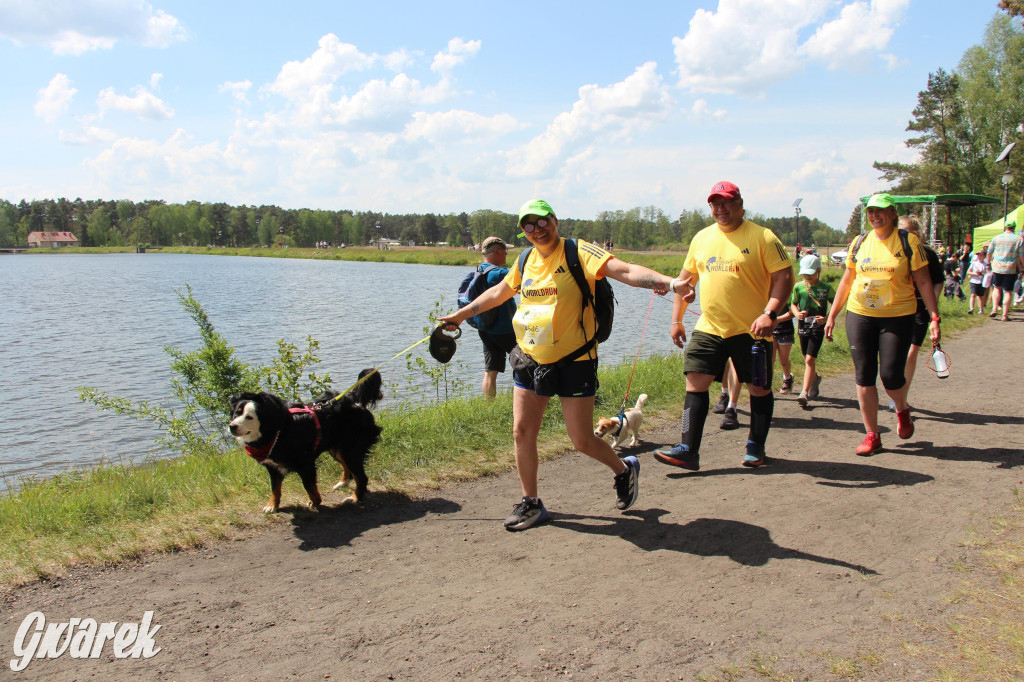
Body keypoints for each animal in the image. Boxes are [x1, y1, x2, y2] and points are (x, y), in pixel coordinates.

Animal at [229, 366, 385, 509]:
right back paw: (342, 483)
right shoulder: (273, 467)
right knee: (348, 468)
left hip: (350, 448)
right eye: (236, 413)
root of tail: (352, 399)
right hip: (337, 447)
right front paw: (272, 505)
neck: (278, 432)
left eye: (250, 417)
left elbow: (308, 485)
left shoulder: (305, 463)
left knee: (361, 477)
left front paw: (315, 502)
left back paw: (355, 497)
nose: (232, 426)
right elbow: (275, 488)